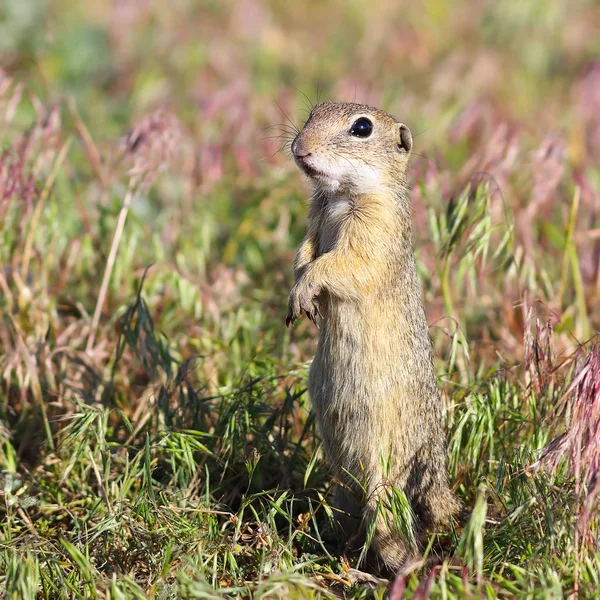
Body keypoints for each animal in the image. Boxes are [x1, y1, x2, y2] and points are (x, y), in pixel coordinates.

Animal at [286, 101, 460, 568]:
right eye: (311, 113)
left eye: (361, 128)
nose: (299, 147)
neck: (341, 196)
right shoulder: (314, 218)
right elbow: (305, 251)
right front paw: (297, 294)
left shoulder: (374, 232)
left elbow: (341, 264)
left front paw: (305, 290)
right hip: (342, 478)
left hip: (383, 464)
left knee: (391, 531)